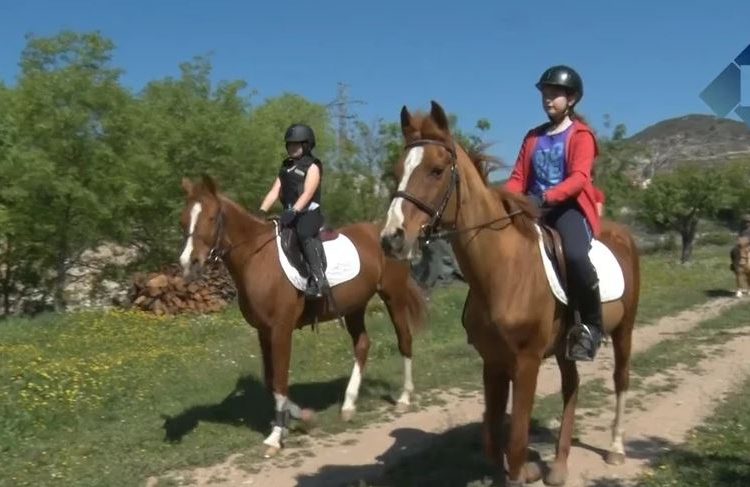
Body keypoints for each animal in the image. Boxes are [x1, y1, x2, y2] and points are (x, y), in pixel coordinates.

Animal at [176, 175, 424, 458]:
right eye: (183, 220)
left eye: (211, 217)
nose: (189, 263)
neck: (257, 257)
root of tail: (386, 234)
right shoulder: (264, 331)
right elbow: (270, 380)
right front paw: (299, 417)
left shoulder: (281, 330)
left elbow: (280, 379)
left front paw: (275, 437)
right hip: (354, 306)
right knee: (362, 345)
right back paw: (348, 405)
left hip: (394, 296)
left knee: (404, 339)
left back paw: (404, 398)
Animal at [382, 101, 640, 486]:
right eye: (398, 171)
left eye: (436, 171)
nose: (391, 238)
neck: (502, 270)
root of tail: (623, 234)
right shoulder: (493, 360)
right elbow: (493, 435)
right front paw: (523, 468)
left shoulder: (526, 361)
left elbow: (517, 436)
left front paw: (522, 471)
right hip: (566, 348)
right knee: (572, 387)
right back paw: (559, 465)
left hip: (625, 331)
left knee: (620, 380)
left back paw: (616, 448)